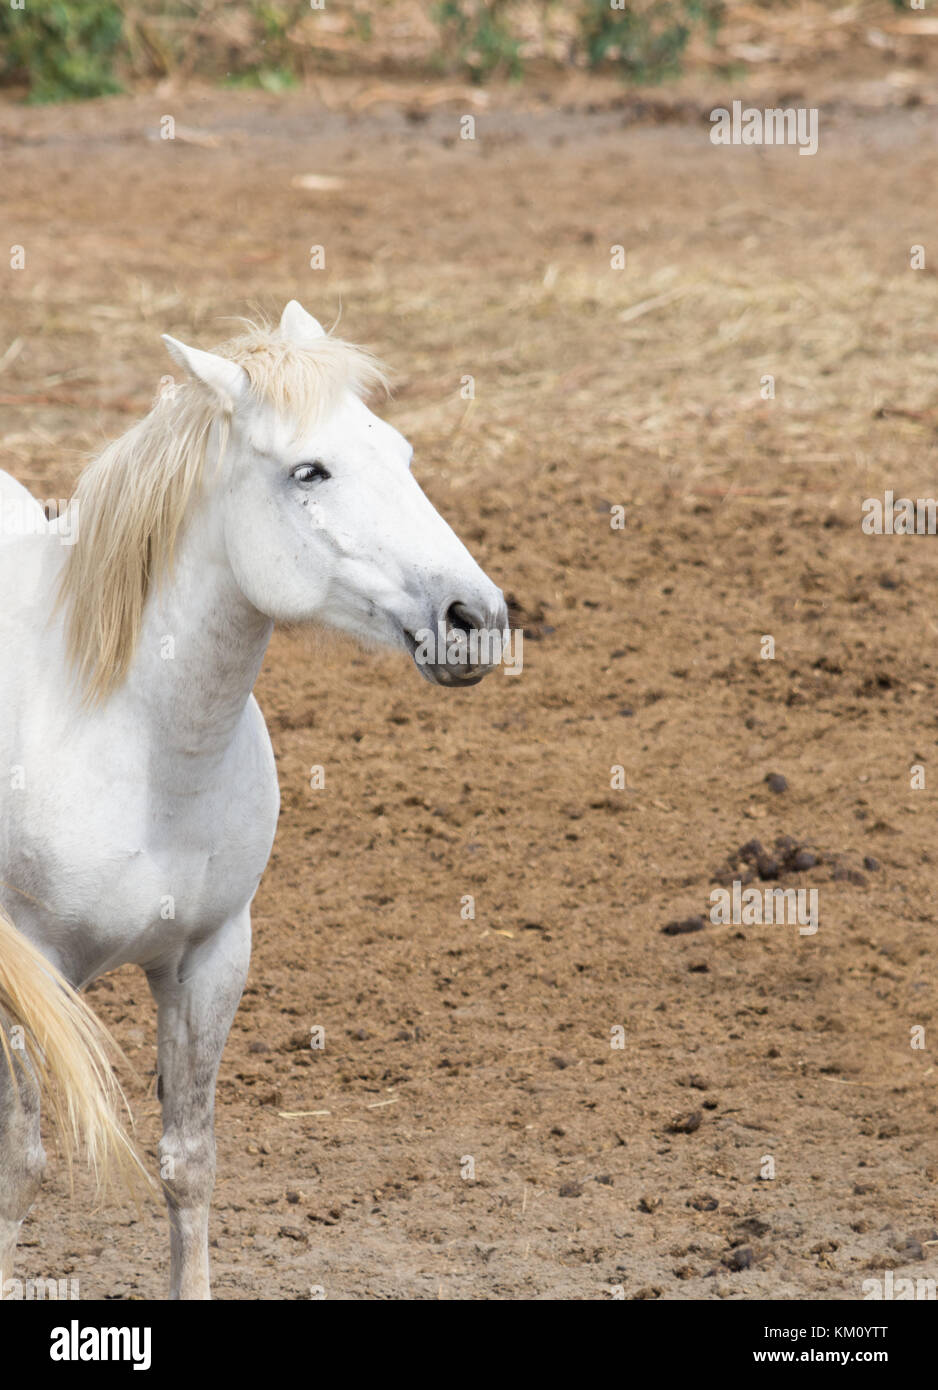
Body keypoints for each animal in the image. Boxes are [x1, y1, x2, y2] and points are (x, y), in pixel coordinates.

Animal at [0, 300, 508, 1299]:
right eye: (308, 470)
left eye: (400, 451)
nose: (475, 619)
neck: (127, 735)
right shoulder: (28, 972)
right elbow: (23, 1171)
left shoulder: (210, 957)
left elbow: (189, 1165)